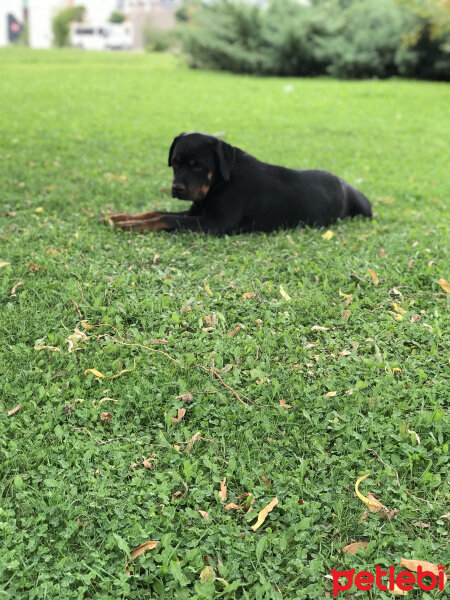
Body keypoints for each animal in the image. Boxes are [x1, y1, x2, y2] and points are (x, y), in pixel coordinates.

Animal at [110, 134, 372, 234]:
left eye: (197, 166)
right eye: (175, 162)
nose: (177, 189)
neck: (219, 183)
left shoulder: (214, 223)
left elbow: (166, 218)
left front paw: (132, 225)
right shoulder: (196, 210)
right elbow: (156, 211)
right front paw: (121, 217)